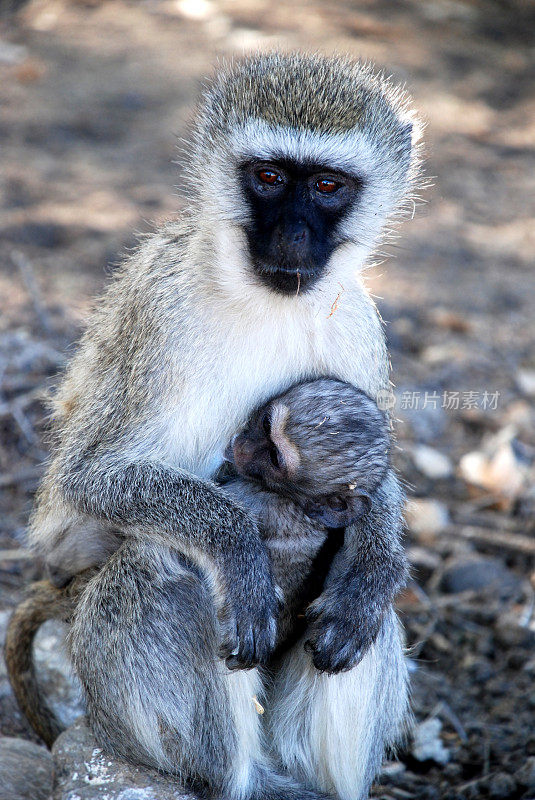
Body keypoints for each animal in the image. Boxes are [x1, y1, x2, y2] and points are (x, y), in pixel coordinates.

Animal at [25, 53, 420, 800]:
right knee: (155, 569)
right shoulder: (162, 312)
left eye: (327, 186)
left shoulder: (358, 322)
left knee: (364, 620)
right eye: (268, 177)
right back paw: (240, 779)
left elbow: (372, 486)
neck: (260, 297)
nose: (292, 236)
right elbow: (88, 476)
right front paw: (237, 547)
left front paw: (372, 572)